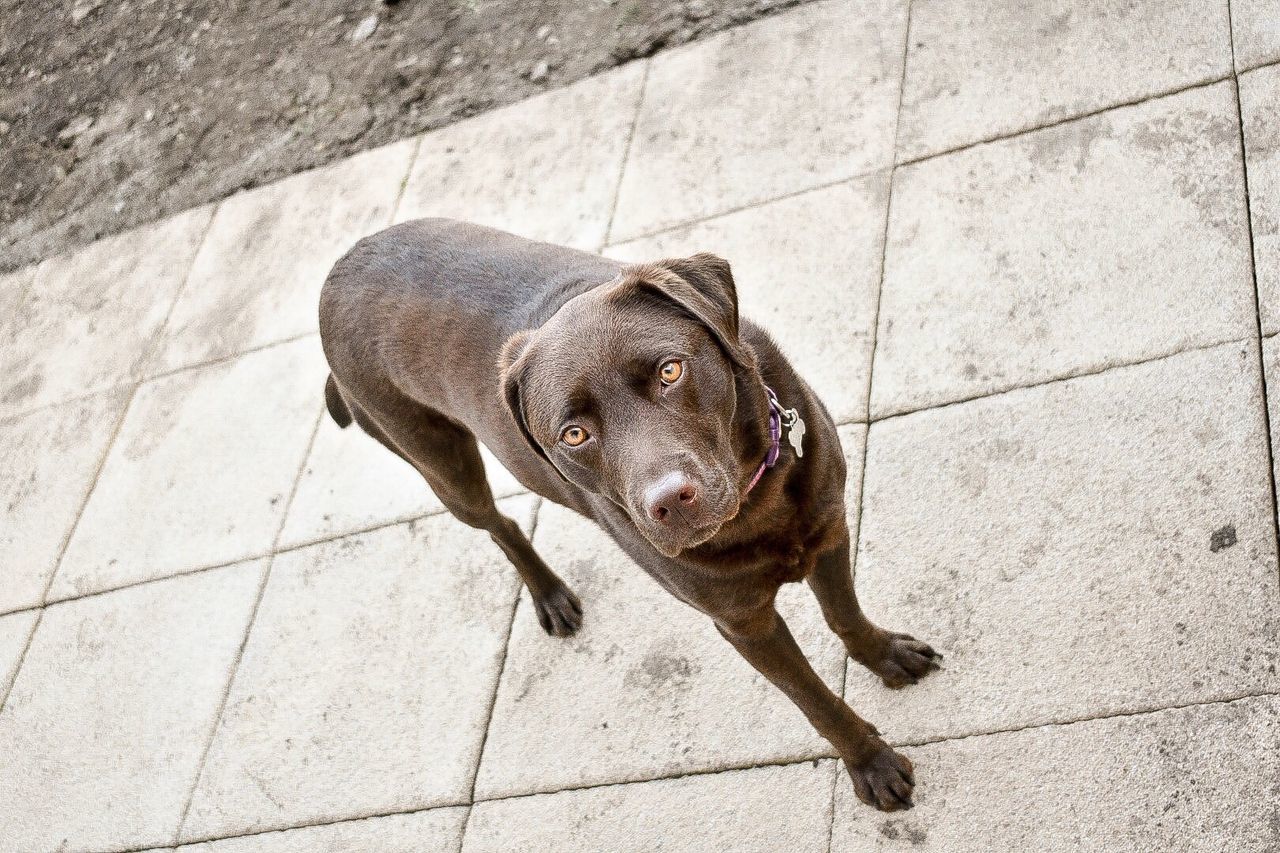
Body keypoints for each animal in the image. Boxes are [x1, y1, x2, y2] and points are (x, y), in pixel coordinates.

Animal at [317, 216, 942, 809]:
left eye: (670, 371)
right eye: (573, 433)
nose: (667, 502)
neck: (753, 506)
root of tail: (338, 268)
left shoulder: (828, 529)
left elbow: (845, 613)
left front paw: (884, 655)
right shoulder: (744, 623)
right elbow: (812, 699)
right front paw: (871, 764)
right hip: (440, 463)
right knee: (499, 523)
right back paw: (549, 594)